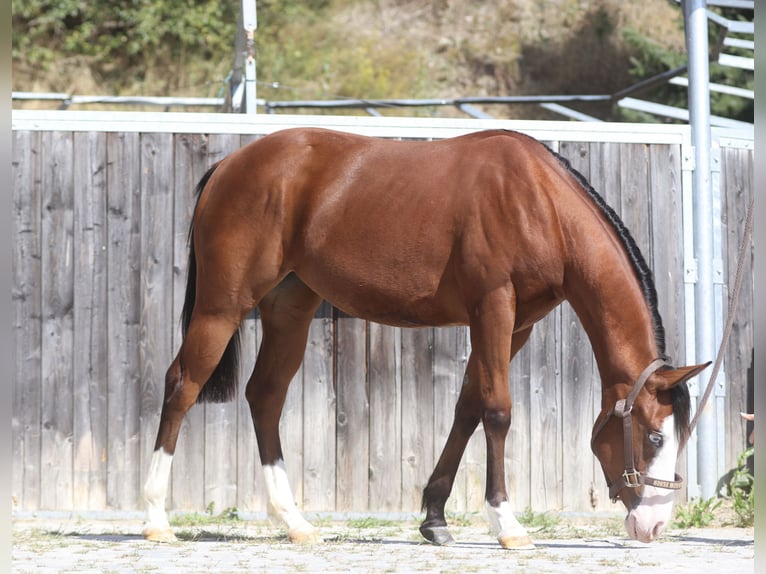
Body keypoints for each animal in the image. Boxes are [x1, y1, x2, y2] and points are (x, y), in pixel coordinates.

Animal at [142, 129, 708, 548]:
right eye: (655, 437)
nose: (655, 525)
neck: (538, 203)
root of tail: (230, 165)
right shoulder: (493, 309)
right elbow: (497, 412)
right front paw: (506, 523)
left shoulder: (515, 325)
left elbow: (468, 409)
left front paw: (434, 518)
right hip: (223, 306)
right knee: (182, 385)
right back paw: (155, 519)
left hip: (289, 309)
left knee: (265, 396)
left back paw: (295, 522)